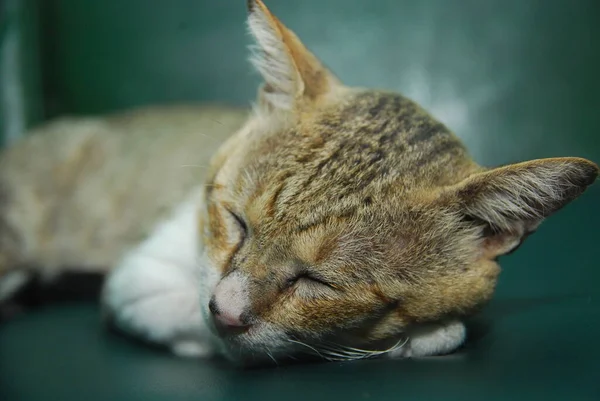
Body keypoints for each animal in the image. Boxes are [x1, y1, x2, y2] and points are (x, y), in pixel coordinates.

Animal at [0, 0, 596, 366]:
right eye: (237, 223)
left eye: (319, 282)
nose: (226, 309)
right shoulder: (139, 281)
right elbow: (224, 335)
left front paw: (418, 335)